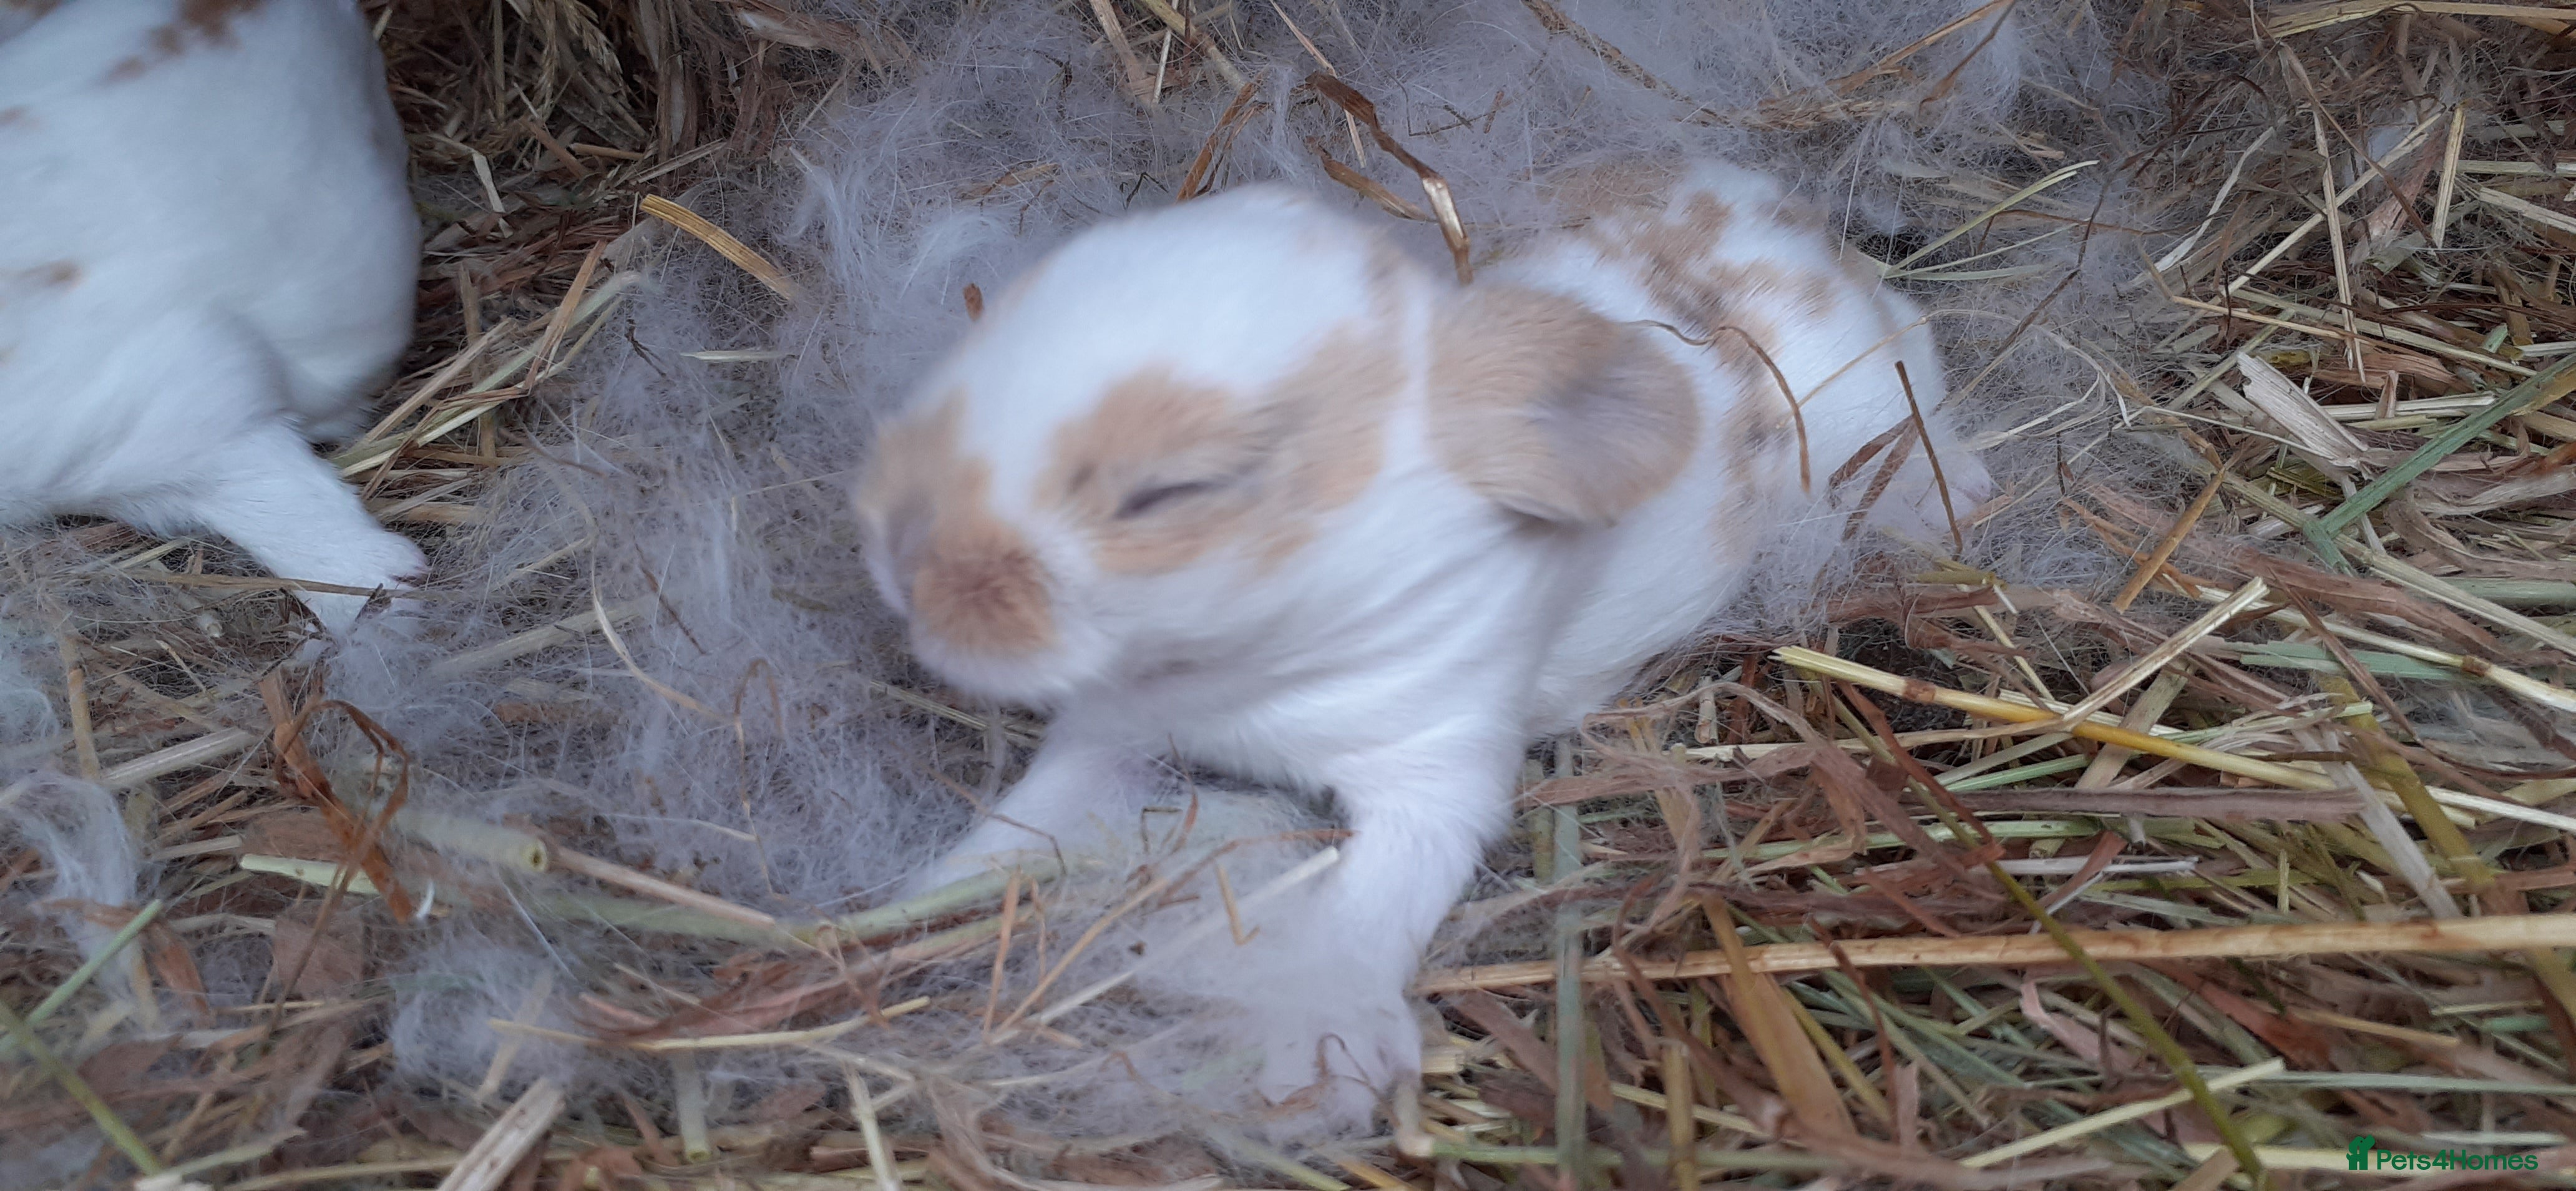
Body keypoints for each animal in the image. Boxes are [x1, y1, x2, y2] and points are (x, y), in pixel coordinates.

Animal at [852, 158, 1993, 1132]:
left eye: (1169, 492)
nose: (900, 552)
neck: (1242, 677)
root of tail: (1791, 223)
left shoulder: (1437, 767)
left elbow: (1368, 902)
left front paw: (1315, 1063)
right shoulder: (1109, 732)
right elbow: (1022, 822)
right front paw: (898, 907)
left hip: (1877, 394)